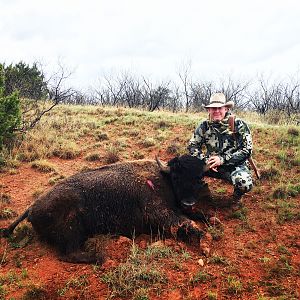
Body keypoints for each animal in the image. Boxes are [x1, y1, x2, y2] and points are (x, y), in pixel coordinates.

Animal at [1, 155, 210, 262]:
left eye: (200, 178)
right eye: (176, 177)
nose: (188, 202)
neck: (162, 177)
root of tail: (31, 208)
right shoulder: (158, 212)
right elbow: (184, 223)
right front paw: (204, 241)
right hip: (73, 227)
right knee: (68, 253)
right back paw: (99, 256)